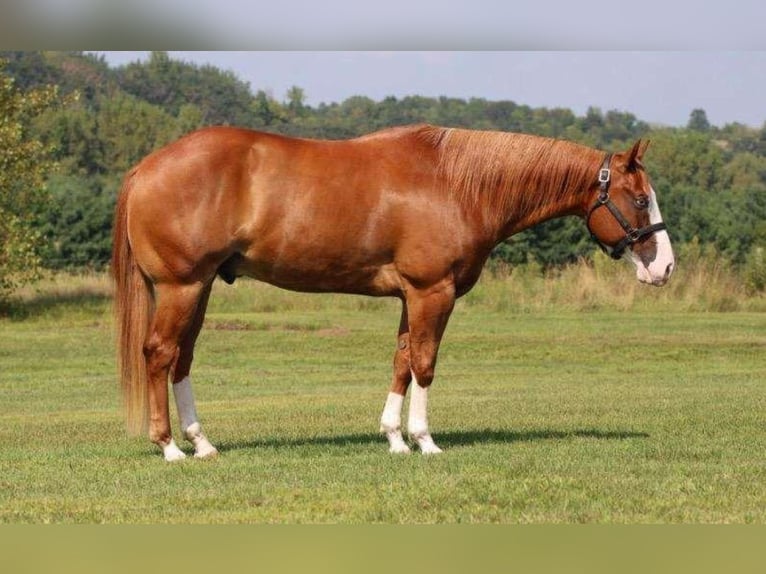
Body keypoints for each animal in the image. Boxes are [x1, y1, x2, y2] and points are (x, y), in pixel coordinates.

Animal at [111, 124, 675, 461]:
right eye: (640, 199)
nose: (665, 267)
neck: (456, 184)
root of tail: (145, 167)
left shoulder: (411, 296)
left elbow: (402, 360)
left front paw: (394, 438)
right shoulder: (433, 292)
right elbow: (424, 363)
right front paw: (425, 442)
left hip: (201, 287)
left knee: (182, 358)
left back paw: (202, 443)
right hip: (182, 286)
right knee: (160, 354)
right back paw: (169, 447)